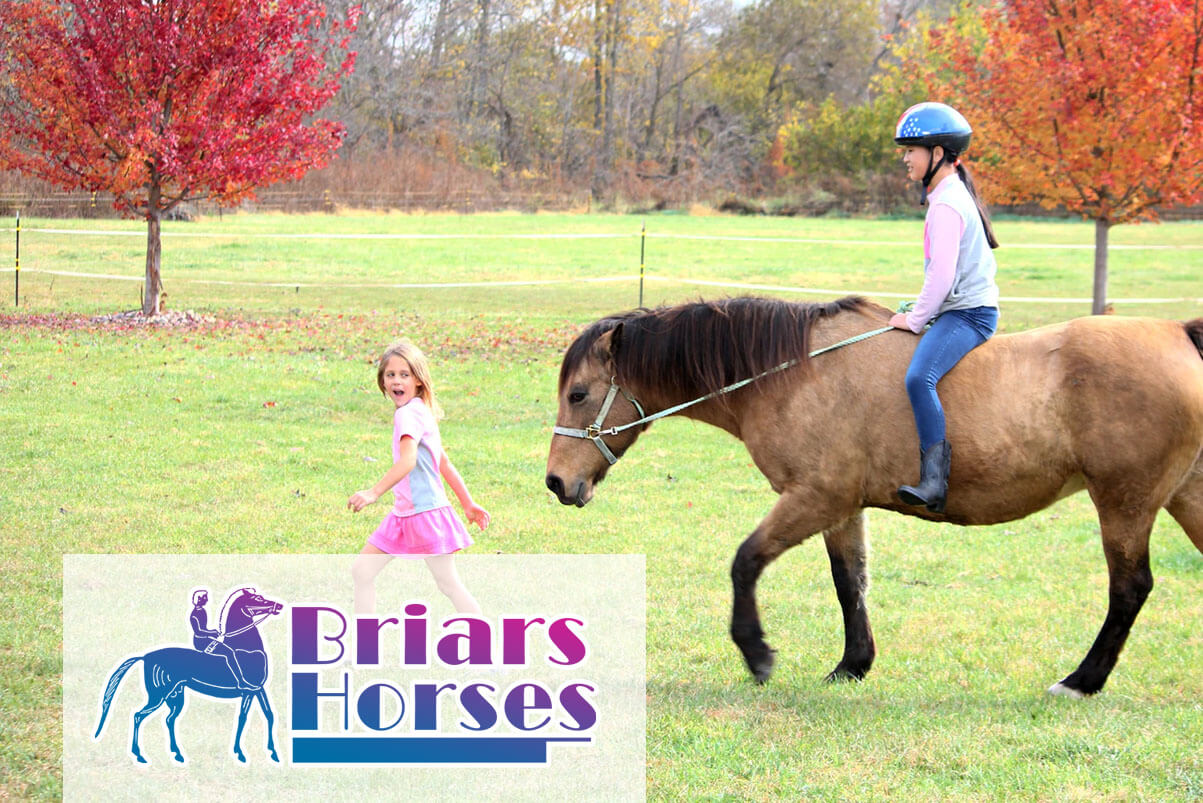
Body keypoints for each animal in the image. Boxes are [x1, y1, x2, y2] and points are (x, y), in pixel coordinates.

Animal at [94, 588, 284, 763]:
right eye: (258, 598)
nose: (279, 606)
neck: (247, 649)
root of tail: (146, 656)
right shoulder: (248, 691)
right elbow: (243, 719)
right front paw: (240, 754)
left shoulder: (259, 689)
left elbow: (269, 715)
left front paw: (273, 753)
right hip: (158, 695)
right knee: (138, 716)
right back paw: (140, 756)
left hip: (175, 696)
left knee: (169, 720)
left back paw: (177, 755)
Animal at [545, 296, 1203, 697]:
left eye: (579, 394)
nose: (555, 482)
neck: (795, 372)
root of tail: (1178, 333)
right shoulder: (842, 507)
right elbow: (850, 583)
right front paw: (852, 664)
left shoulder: (815, 496)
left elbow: (745, 562)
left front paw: (758, 654)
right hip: (1183, 498)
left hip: (1124, 502)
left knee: (1129, 588)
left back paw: (1082, 680)